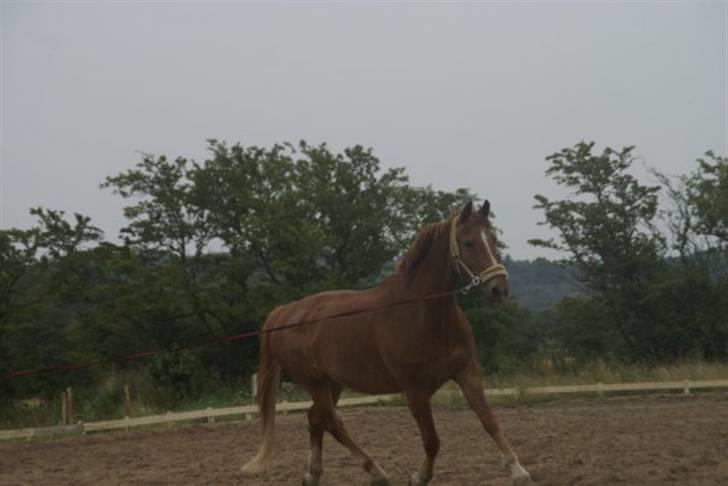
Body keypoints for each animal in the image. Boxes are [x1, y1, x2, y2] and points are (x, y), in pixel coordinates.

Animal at [242, 200, 532, 486]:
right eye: (469, 242)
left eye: (493, 239)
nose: (499, 289)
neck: (425, 314)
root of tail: (284, 312)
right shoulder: (415, 390)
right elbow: (432, 440)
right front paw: (419, 477)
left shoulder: (467, 372)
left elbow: (489, 421)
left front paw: (518, 470)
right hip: (315, 383)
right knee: (332, 422)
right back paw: (376, 471)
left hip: (332, 383)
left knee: (316, 419)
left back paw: (313, 474)